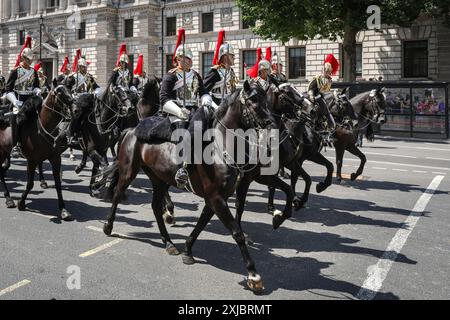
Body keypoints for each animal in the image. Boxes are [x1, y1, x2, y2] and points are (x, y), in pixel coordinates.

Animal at [98, 81, 278, 294]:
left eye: (267, 100)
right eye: (253, 101)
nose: (272, 125)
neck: (220, 148)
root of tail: (131, 130)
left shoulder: (214, 199)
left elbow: (201, 224)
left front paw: (187, 250)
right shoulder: (217, 199)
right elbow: (237, 233)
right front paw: (253, 275)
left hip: (159, 179)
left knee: (156, 207)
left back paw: (168, 242)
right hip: (128, 172)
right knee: (118, 194)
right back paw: (108, 226)